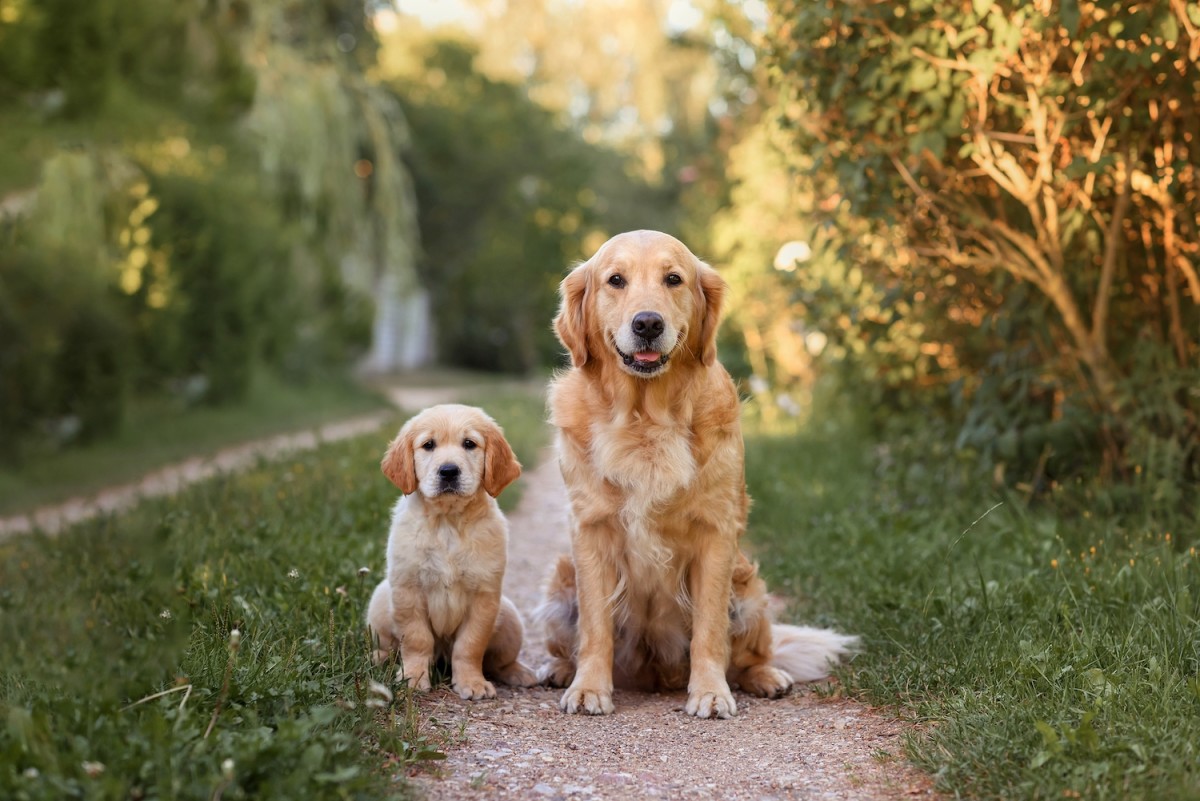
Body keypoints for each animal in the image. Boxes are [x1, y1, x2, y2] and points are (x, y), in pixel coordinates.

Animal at [364, 402, 535, 695]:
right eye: (428, 445)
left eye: (469, 444)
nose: (448, 471)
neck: (448, 522)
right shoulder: (408, 590)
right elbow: (417, 640)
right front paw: (413, 677)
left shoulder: (484, 596)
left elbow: (470, 645)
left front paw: (472, 682)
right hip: (380, 599)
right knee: (390, 645)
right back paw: (379, 658)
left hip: (510, 615)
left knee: (500, 660)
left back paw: (519, 672)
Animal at [540, 230, 859, 719]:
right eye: (616, 280)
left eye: (673, 279)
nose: (647, 323)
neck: (646, 418)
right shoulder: (590, 530)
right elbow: (595, 627)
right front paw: (589, 688)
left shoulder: (716, 533)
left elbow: (710, 630)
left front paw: (710, 692)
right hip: (561, 584)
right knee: (569, 643)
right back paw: (559, 671)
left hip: (748, 588)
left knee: (751, 654)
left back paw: (767, 677)